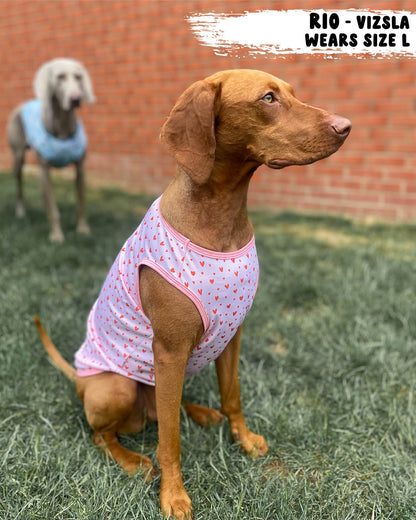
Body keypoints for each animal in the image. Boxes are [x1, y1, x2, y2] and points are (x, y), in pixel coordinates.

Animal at [34, 70, 350, 520]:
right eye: (268, 99)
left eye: (292, 92)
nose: (346, 126)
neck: (222, 216)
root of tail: (78, 380)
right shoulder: (169, 350)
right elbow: (170, 442)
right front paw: (174, 495)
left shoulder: (232, 336)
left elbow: (232, 396)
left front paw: (243, 439)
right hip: (118, 388)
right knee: (107, 434)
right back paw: (132, 461)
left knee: (168, 409)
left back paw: (201, 412)